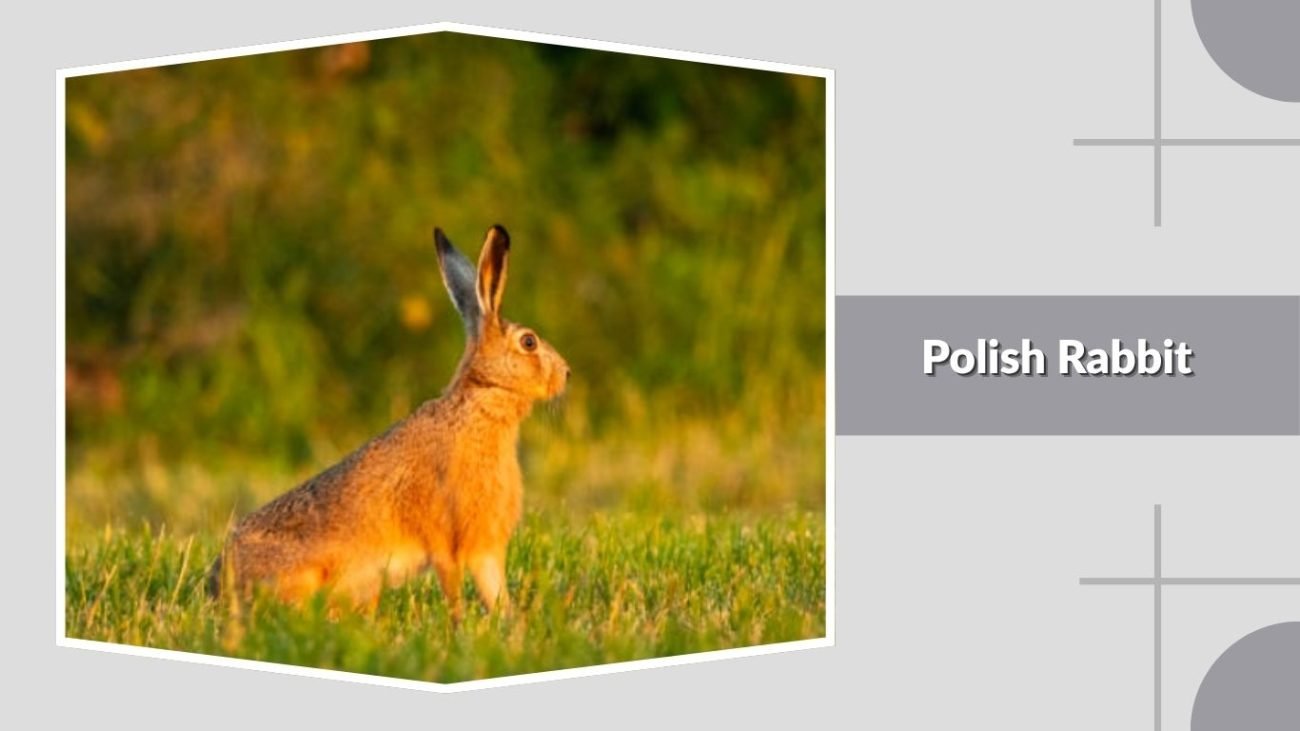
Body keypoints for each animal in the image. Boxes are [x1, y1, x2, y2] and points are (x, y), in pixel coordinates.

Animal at [206, 224, 570, 621]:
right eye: (529, 342)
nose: (566, 374)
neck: (480, 404)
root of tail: (215, 584)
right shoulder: (447, 540)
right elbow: (453, 588)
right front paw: (459, 626)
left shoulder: (484, 549)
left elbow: (495, 592)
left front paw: (510, 623)